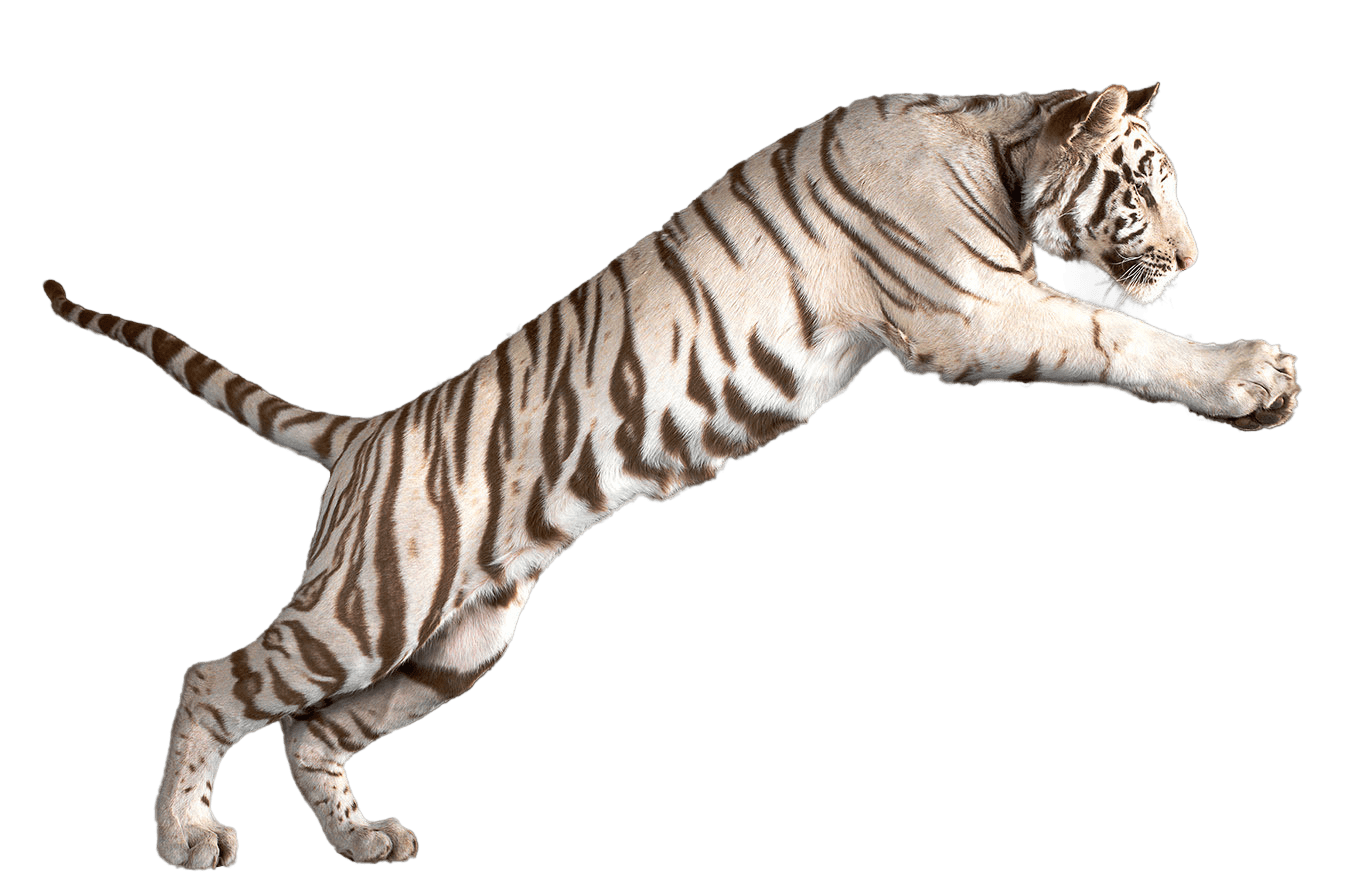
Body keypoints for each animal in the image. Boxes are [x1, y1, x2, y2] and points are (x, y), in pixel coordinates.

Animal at [42, 82, 1300, 869]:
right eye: (1140, 190)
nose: (1187, 255)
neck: (993, 145)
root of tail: (369, 431)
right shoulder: (970, 311)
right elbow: (1115, 341)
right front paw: (1247, 373)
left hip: (454, 647)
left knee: (312, 730)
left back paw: (362, 841)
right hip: (366, 607)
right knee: (213, 677)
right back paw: (181, 838)